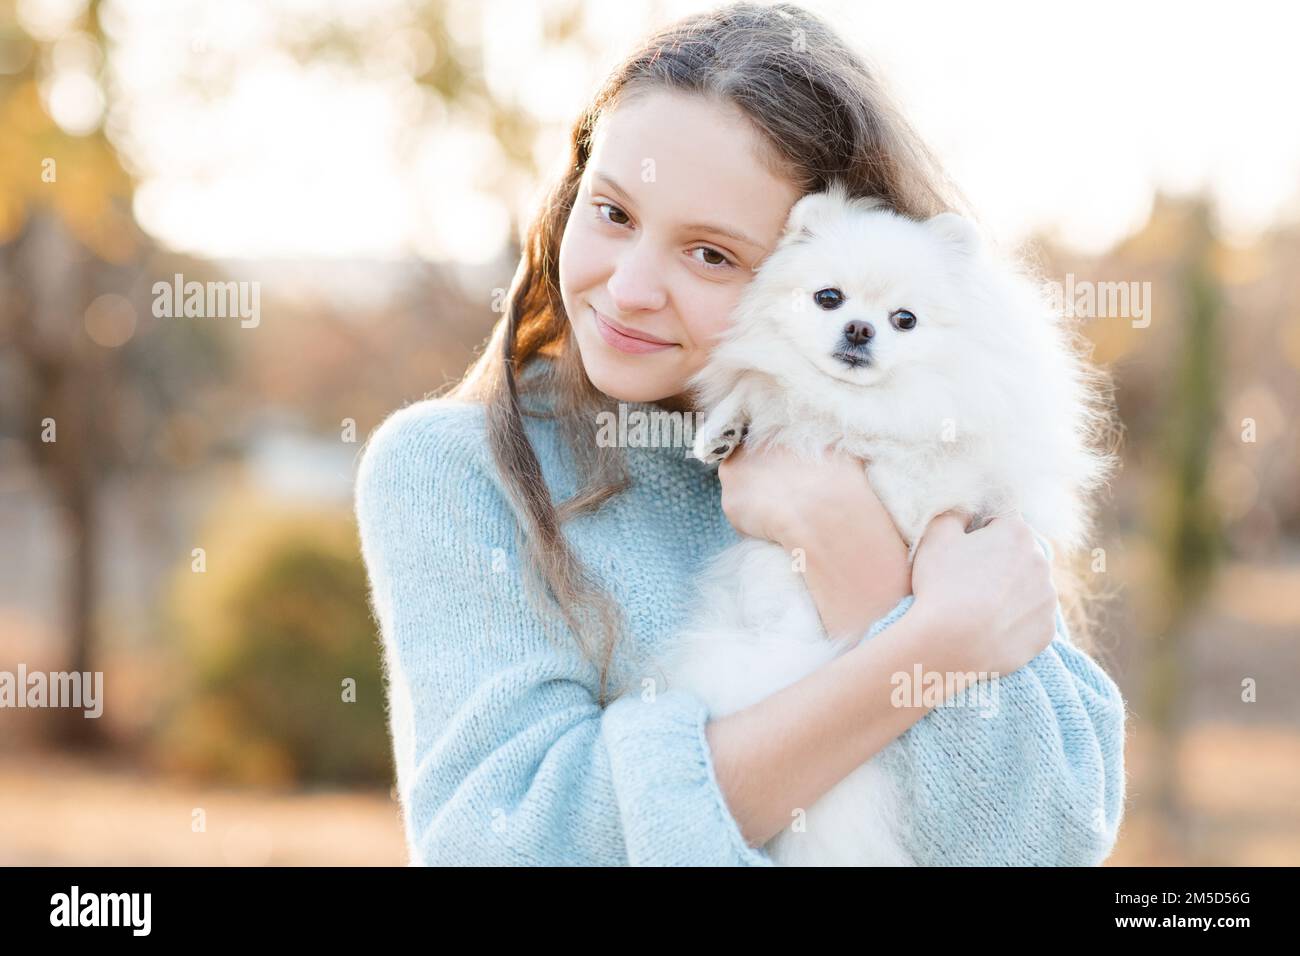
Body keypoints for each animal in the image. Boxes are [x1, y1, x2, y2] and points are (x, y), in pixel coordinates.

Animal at [660, 179, 1107, 868]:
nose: (860, 328)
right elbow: (770, 386)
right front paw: (728, 426)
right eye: (828, 297)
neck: (862, 407)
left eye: (906, 320)